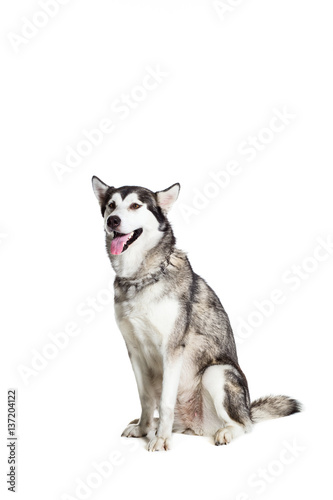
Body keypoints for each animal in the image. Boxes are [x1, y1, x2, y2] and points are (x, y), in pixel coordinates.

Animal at [91, 178, 300, 452]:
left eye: (135, 205)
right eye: (111, 205)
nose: (112, 221)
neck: (141, 277)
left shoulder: (172, 349)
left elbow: (165, 402)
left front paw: (161, 439)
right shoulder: (134, 351)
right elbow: (146, 399)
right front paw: (143, 429)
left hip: (217, 373)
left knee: (244, 426)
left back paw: (224, 432)